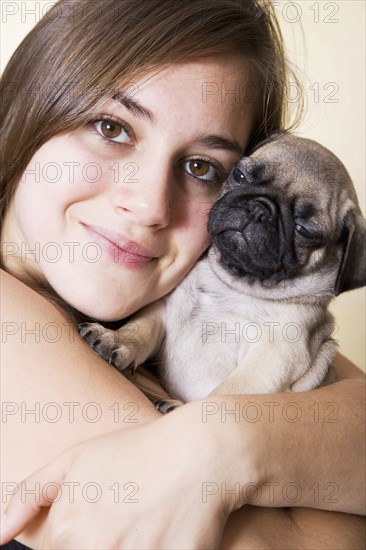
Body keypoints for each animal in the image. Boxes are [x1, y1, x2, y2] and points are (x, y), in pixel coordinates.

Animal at [80, 134, 366, 414]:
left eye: (303, 229)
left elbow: (227, 393)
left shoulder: (271, 357)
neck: (232, 286)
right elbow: (140, 329)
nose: (259, 208)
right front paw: (116, 339)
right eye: (240, 175)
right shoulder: (164, 307)